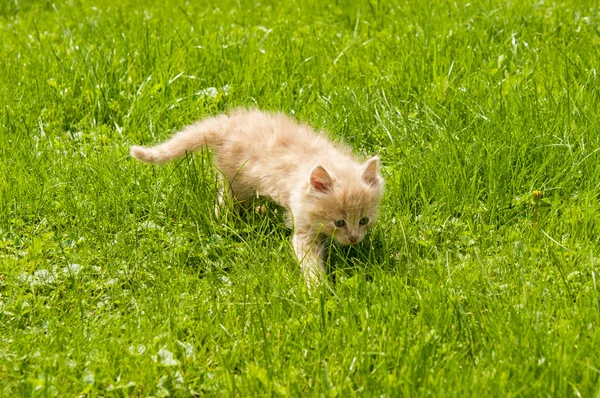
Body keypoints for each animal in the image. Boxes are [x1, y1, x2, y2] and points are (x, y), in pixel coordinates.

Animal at [131, 109, 384, 286]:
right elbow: (309, 261)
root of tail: (228, 125)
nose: (353, 238)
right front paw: (317, 289)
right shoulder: (302, 228)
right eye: (339, 222)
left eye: (364, 220)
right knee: (224, 205)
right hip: (235, 185)